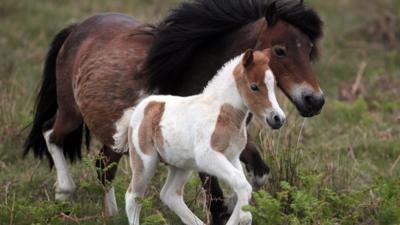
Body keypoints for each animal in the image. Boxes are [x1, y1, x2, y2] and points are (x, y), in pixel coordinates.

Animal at [114, 49, 286, 225]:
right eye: (254, 86)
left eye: (273, 85)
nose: (278, 118)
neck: (222, 114)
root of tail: (138, 108)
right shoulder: (208, 157)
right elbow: (243, 185)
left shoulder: (232, 157)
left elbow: (243, 192)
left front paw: (243, 216)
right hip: (145, 161)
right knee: (133, 197)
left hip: (182, 165)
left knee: (170, 194)